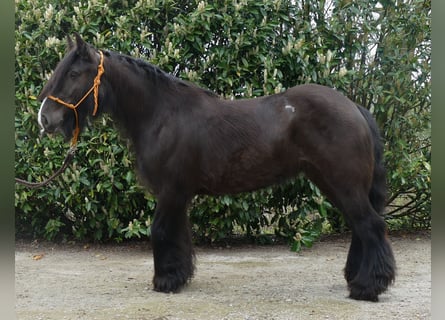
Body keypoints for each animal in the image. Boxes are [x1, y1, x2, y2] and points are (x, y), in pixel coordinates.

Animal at [36, 33, 394, 302]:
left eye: (72, 74)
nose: (45, 119)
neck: (162, 113)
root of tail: (355, 108)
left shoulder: (170, 191)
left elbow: (160, 231)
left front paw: (164, 281)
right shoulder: (178, 195)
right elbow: (178, 234)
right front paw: (178, 277)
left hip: (343, 184)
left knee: (371, 226)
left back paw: (367, 287)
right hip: (331, 183)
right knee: (361, 228)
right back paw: (356, 279)